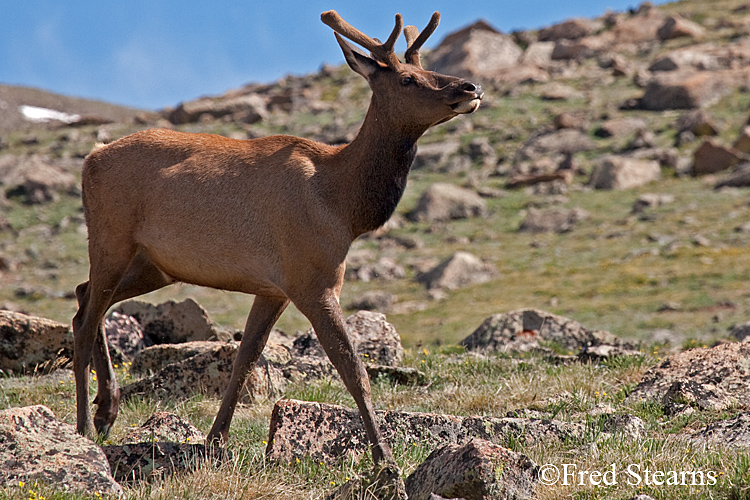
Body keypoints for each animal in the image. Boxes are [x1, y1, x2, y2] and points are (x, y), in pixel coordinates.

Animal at [70, 9, 482, 466]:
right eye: (407, 78)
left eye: (427, 68)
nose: (470, 87)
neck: (343, 207)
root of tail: (91, 157)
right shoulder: (312, 280)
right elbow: (353, 367)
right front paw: (384, 460)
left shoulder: (273, 288)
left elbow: (245, 360)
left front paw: (216, 440)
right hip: (111, 237)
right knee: (85, 319)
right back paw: (84, 428)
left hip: (154, 264)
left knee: (85, 297)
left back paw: (107, 410)